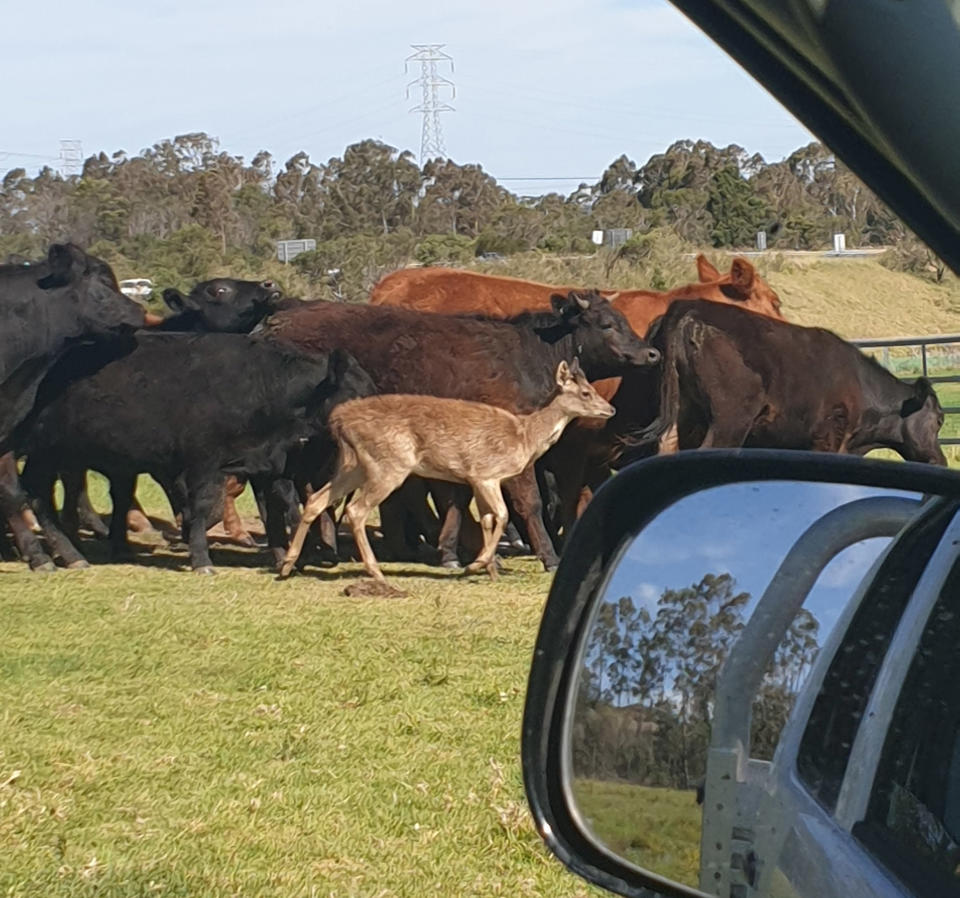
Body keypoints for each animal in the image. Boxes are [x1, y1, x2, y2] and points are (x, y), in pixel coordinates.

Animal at [19, 332, 372, 572]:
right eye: (357, 394)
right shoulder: (203, 463)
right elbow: (204, 508)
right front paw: (200, 557)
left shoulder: (268, 467)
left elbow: (275, 512)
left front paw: (285, 557)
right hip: (44, 451)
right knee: (36, 495)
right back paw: (63, 555)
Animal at [278, 360, 616, 592]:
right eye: (586, 392)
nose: (610, 410)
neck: (524, 439)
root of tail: (339, 420)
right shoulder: (486, 473)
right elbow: (502, 515)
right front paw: (477, 565)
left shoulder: (476, 479)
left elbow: (489, 519)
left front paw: (489, 569)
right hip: (388, 464)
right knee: (355, 510)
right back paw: (375, 571)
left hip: (354, 465)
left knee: (317, 499)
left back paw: (286, 566)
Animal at [628, 300, 948, 466]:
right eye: (940, 420)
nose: (941, 461)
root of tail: (688, 308)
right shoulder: (827, 439)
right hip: (731, 419)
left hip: (682, 414)